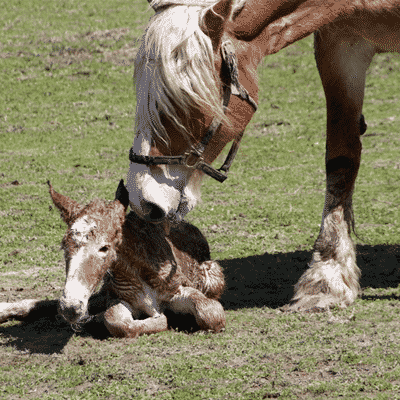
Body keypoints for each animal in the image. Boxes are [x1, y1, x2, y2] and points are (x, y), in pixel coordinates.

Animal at [0, 181, 225, 338]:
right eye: (64, 245)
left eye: (104, 248)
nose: (70, 308)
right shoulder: (117, 296)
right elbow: (116, 321)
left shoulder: (177, 289)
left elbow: (211, 312)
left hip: (213, 275)